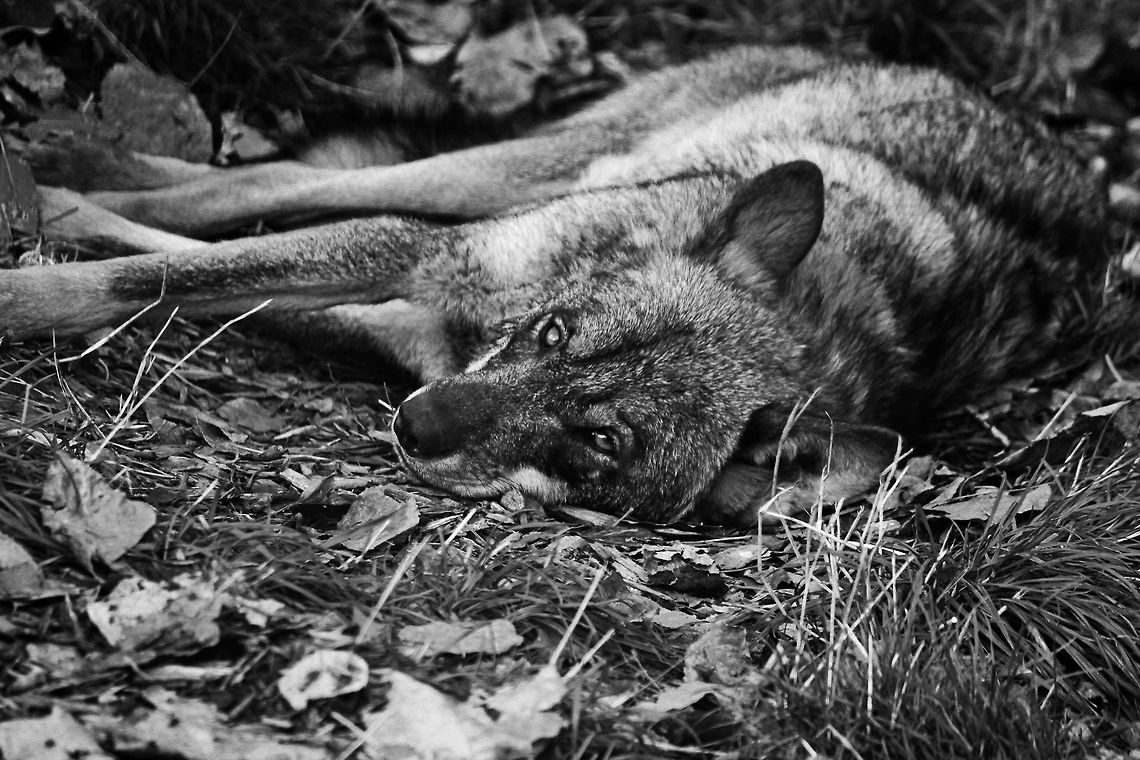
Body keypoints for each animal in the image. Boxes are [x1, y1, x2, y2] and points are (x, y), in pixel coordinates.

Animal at [0, 45, 1108, 525]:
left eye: (601, 439)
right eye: (556, 335)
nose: (419, 425)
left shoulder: (405, 321)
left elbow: (186, 284)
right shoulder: (422, 259)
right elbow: (151, 275)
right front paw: (21, 294)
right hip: (505, 176)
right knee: (277, 181)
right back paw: (74, 171)